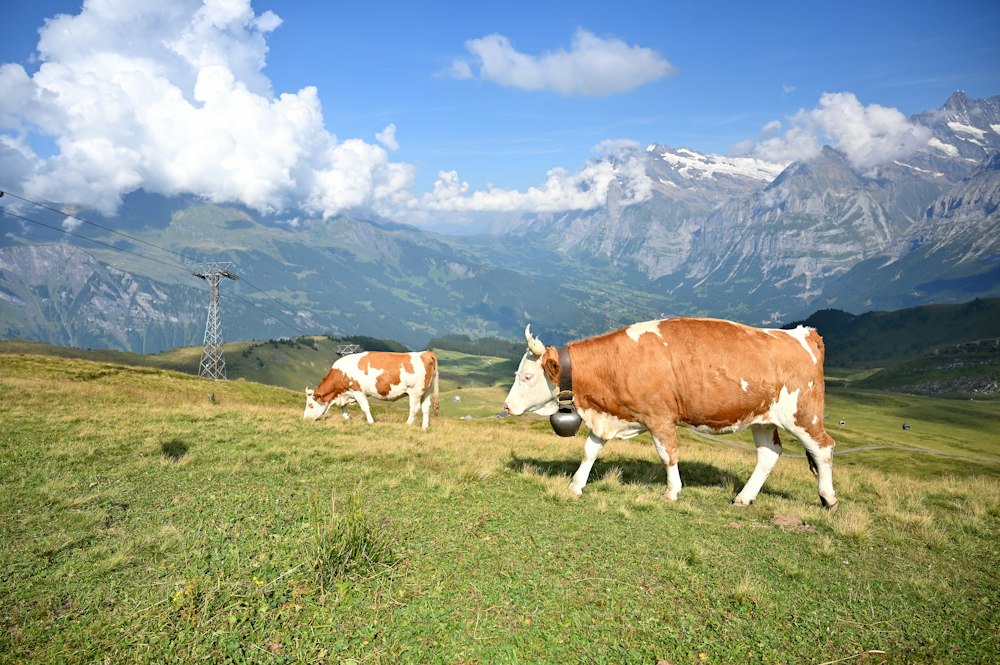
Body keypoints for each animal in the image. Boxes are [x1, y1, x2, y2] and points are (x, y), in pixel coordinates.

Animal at [304, 351, 439, 429]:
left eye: (310, 405)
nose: (305, 419)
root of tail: (426, 353)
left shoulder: (358, 392)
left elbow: (365, 408)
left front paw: (370, 422)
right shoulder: (346, 393)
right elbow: (343, 407)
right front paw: (347, 417)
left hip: (415, 391)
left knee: (415, 408)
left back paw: (408, 424)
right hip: (426, 391)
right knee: (426, 407)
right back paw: (424, 427)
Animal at [502, 318, 838, 509]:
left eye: (527, 376)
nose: (506, 406)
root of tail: (804, 335)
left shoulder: (660, 418)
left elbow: (668, 455)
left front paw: (672, 492)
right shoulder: (609, 416)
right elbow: (589, 451)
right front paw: (575, 486)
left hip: (803, 415)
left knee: (823, 448)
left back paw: (829, 498)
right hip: (763, 418)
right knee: (769, 454)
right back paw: (744, 498)